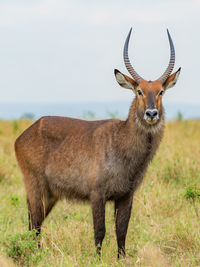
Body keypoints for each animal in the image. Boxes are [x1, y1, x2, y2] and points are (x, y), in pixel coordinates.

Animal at [14, 28, 180, 258]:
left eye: (161, 91)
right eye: (138, 91)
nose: (152, 113)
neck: (121, 141)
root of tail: (25, 133)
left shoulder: (126, 196)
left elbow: (122, 231)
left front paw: (121, 259)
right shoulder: (97, 193)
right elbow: (100, 231)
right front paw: (98, 260)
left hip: (50, 194)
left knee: (34, 222)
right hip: (35, 185)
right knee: (34, 224)